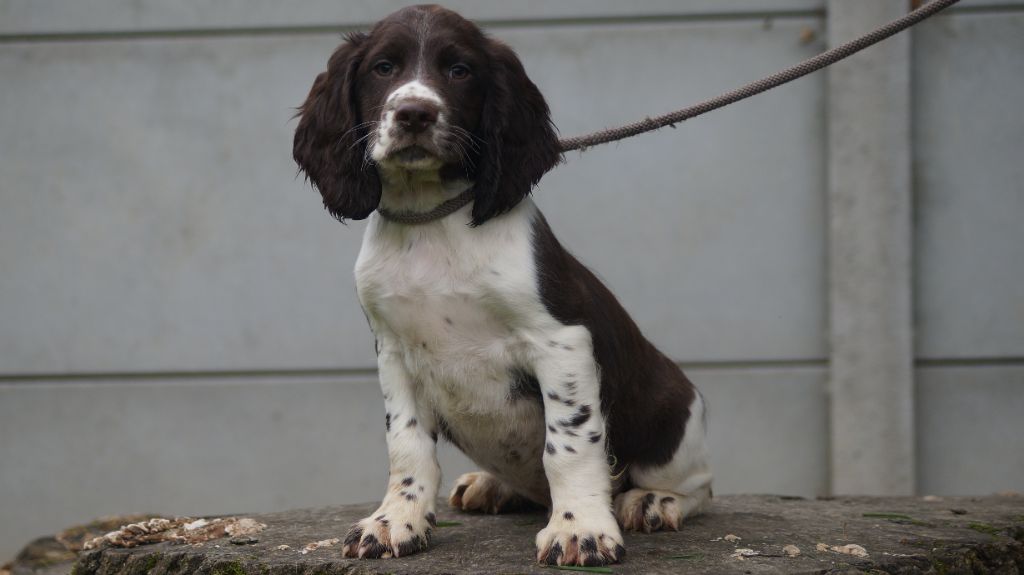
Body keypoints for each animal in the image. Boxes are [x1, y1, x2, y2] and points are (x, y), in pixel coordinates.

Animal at [294, 4, 712, 564]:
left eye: (459, 70)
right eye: (383, 68)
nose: (414, 114)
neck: (432, 220)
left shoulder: (561, 341)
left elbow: (568, 446)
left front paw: (579, 530)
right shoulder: (394, 352)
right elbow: (407, 445)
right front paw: (394, 521)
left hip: (671, 415)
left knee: (698, 485)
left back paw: (653, 501)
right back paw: (492, 484)